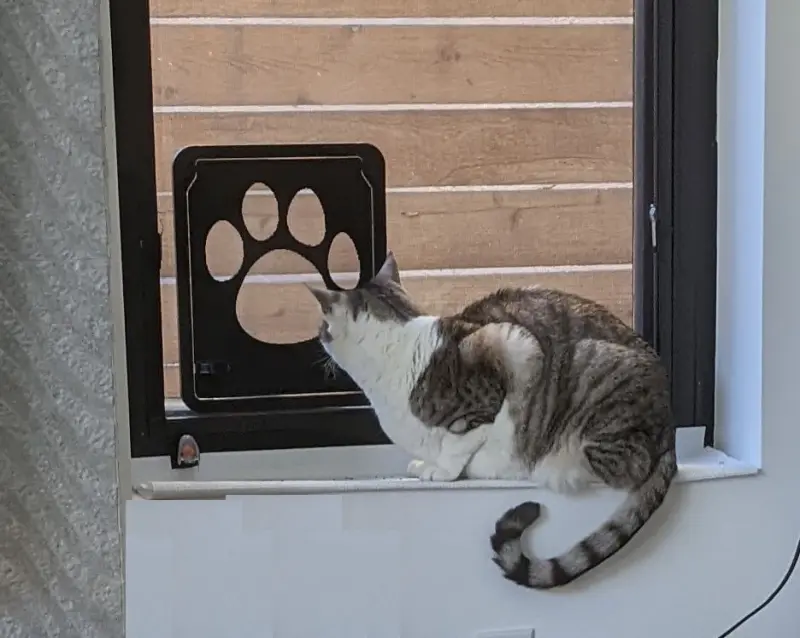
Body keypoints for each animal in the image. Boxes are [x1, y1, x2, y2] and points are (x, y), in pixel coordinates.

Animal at [306, 252, 676, 592]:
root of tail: (670, 427)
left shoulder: (507, 351)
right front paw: (425, 463)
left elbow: (461, 442)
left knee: (630, 465)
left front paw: (445, 470)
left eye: (323, 327)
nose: (318, 339)